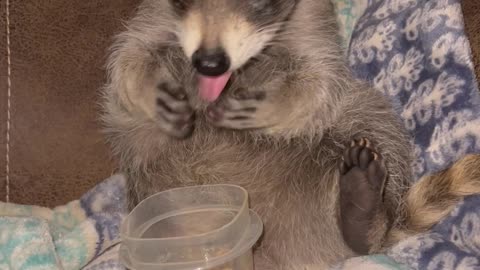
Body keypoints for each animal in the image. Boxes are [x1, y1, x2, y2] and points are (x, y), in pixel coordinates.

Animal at [100, 0, 476, 268]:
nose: (210, 63)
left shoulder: (313, 34)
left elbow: (317, 87)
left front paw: (271, 107)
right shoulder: (154, 20)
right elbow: (129, 61)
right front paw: (152, 91)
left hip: (358, 135)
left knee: (369, 116)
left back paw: (363, 217)